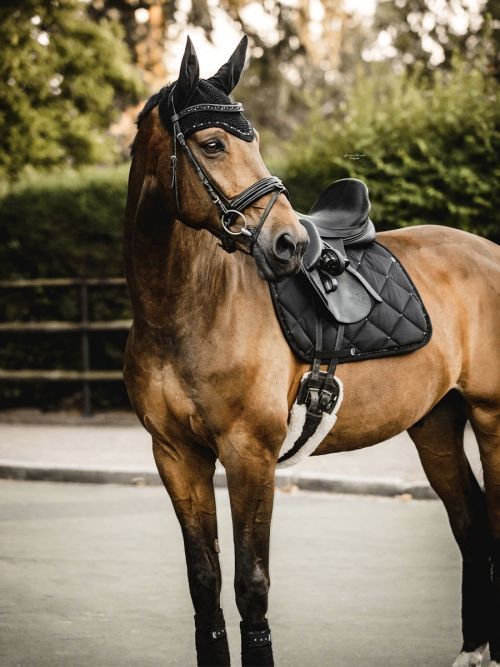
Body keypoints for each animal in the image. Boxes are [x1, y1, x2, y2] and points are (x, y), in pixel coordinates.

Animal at [123, 36, 500, 667]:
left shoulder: (249, 455)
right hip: (436, 424)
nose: (289, 243)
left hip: (492, 419)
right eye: (212, 143)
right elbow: (205, 583)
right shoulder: (176, 456)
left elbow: (251, 584)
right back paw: (474, 648)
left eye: (253, 141)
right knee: (471, 525)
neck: (186, 309)